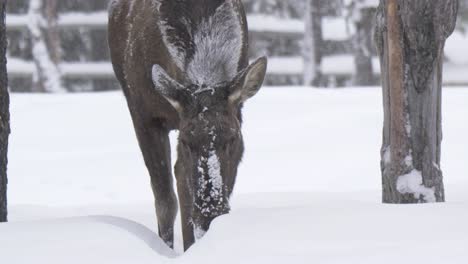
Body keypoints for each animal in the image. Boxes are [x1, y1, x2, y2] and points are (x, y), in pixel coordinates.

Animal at [107, 0, 266, 250]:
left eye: (233, 139)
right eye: (186, 141)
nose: (209, 217)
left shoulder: (238, 114)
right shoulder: (143, 114)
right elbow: (165, 200)